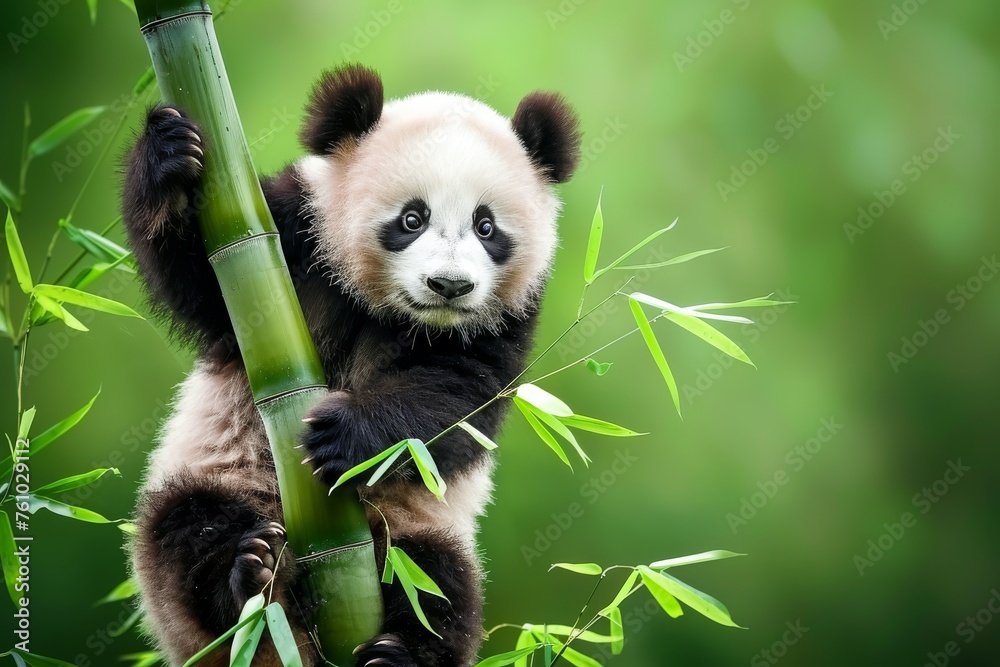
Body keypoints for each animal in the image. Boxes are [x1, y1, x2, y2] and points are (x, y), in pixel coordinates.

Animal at [124, 64, 581, 666]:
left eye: (486, 227)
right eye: (412, 218)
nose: (449, 286)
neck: (391, 310)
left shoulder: (505, 319)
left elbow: (455, 399)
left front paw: (347, 435)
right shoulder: (289, 235)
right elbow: (198, 279)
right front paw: (170, 152)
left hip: (416, 529)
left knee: (440, 587)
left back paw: (396, 654)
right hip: (218, 480)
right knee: (186, 533)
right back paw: (248, 576)